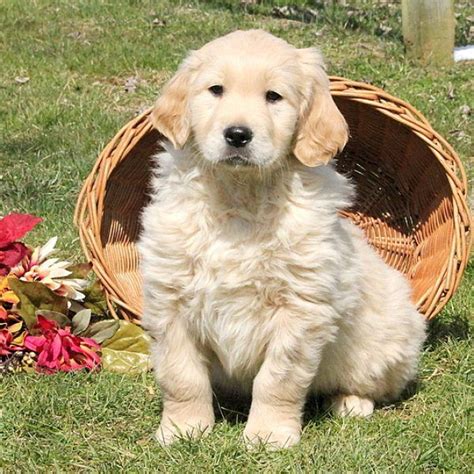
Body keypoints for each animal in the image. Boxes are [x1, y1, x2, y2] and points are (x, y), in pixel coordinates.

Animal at [139, 29, 428, 448]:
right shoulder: (170, 301)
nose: (237, 135)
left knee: (374, 385)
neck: (240, 197)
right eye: (216, 90)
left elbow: (278, 380)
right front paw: (182, 429)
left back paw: (351, 403)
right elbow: (181, 375)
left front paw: (268, 435)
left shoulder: (300, 309)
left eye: (273, 96)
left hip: (386, 341)